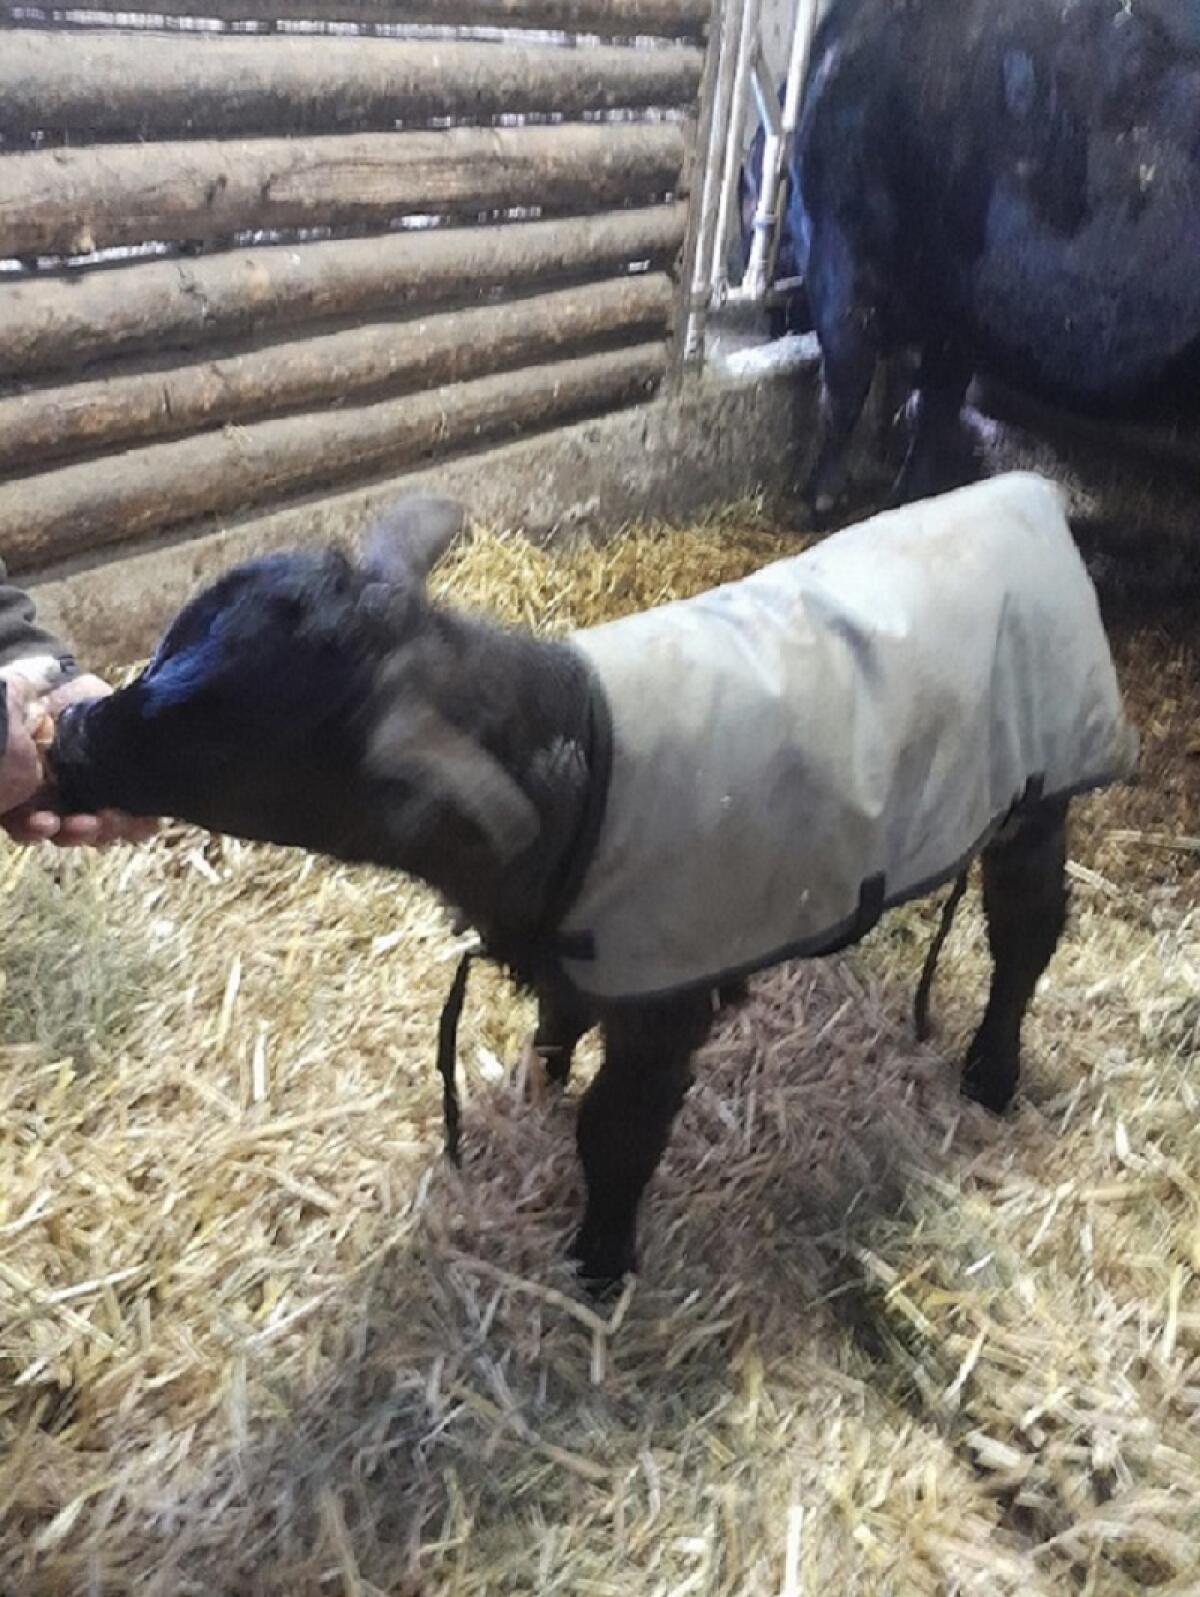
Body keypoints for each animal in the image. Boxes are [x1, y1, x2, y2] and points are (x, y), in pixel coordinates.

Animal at [45, 478, 1137, 1288]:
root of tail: (1026, 490)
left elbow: (616, 1133)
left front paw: (600, 1263)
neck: (578, 755)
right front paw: (540, 1082)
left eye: (220, 730)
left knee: (1027, 930)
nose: (64, 739)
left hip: (1042, 793)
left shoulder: (662, 1002)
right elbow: (554, 1026)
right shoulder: (578, 949)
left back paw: (991, 1072)